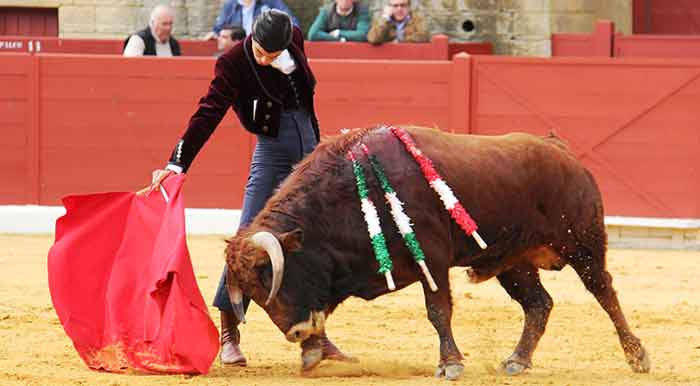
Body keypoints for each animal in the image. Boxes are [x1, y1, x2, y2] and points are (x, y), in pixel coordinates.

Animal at [223, 126, 652, 380]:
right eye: (254, 294)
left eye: (272, 276)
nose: (294, 333)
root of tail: (560, 149)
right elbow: (323, 309)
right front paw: (312, 352)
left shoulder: (431, 259)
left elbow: (437, 311)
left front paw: (451, 364)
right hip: (514, 261)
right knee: (539, 303)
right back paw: (517, 360)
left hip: (582, 243)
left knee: (604, 292)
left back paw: (637, 357)